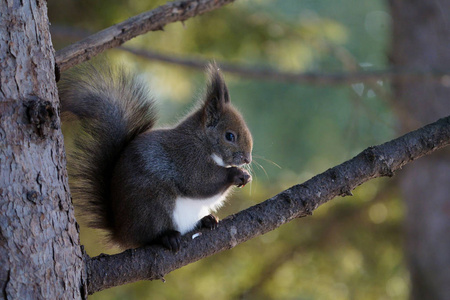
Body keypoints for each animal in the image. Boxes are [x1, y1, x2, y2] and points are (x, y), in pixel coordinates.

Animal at [58, 62, 253, 251]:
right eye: (229, 136)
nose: (247, 159)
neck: (202, 140)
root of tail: (122, 233)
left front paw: (244, 175)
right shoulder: (187, 158)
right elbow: (201, 182)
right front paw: (236, 173)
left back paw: (206, 220)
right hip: (154, 207)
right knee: (148, 236)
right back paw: (167, 236)